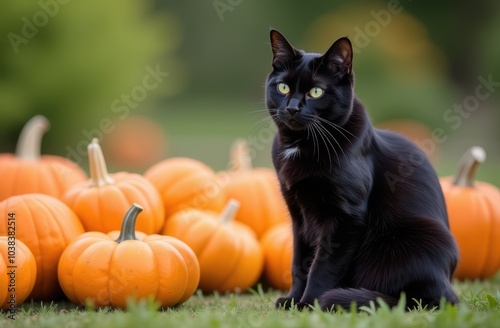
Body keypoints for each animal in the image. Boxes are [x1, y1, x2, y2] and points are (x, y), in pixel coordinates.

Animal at [266, 29, 460, 312]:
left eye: (316, 91)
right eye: (283, 87)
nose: (292, 108)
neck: (301, 145)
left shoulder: (346, 217)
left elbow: (323, 266)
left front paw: (310, 303)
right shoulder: (298, 213)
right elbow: (300, 262)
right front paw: (292, 300)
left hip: (422, 238)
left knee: (418, 299)